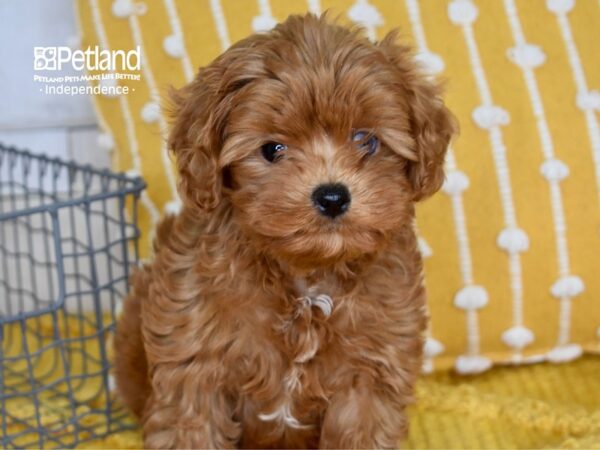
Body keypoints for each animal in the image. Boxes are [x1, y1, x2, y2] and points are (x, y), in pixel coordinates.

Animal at [115, 12, 454, 448]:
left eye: (367, 140)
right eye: (272, 149)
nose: (332, 196)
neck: (307, 276)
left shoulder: (371, 373)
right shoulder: (194, 361)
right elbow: (192, 425)